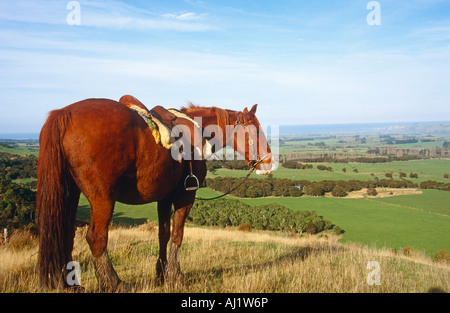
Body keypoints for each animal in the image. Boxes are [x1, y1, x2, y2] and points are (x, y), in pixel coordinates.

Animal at [36, 97, 274, 290]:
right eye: (255, 130)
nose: (269, 161)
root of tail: (64, 113)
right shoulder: (185, 197)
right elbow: (177, 235)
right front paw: (176, 276)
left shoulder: (164, 197)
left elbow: (164, 234)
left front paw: (162, 274)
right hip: (102, 198)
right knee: (96, 237)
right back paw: (113, 282)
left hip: (70, 193)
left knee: (65, 232)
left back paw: (68, 283)